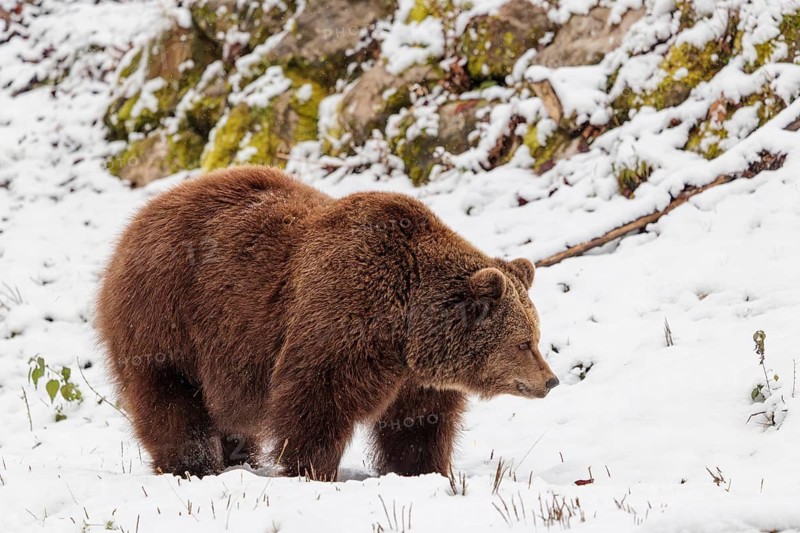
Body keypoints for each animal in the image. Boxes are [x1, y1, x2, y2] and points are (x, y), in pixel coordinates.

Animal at [95, 165, 559, 480]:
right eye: (524, 342)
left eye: (537, 336)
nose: (550, 380)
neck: (406, 329)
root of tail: (139, 219)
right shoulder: (342, 320)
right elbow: (316, 404)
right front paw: (310, 471)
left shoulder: (413, 377)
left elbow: (418, 424)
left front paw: (425, 470)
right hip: (168, 315)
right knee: (170, 396)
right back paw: (194, 465)